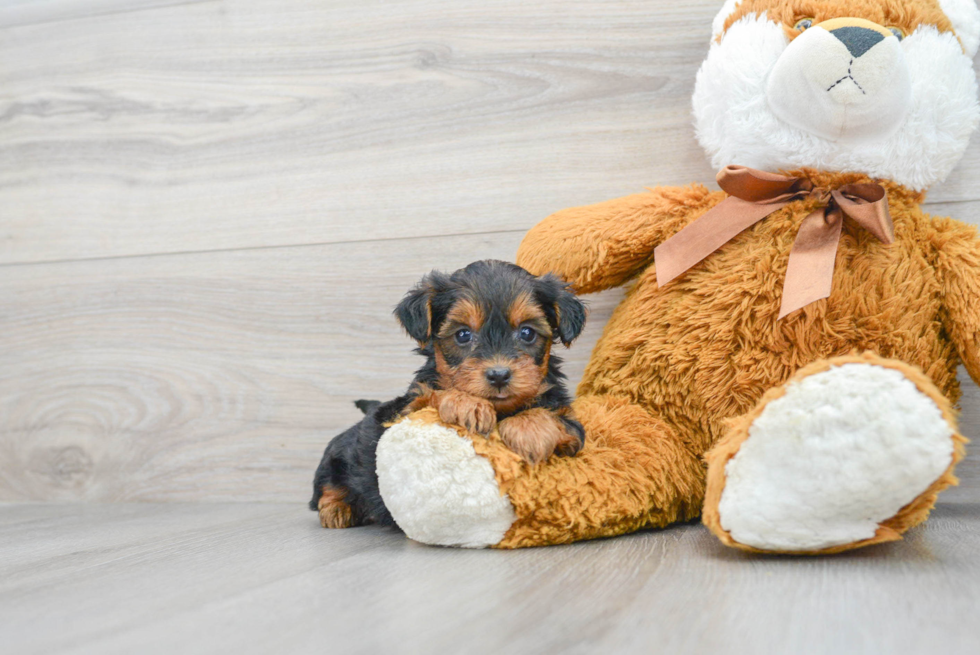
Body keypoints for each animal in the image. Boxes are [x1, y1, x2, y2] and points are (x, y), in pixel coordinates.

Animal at [314, 258, 584, 532]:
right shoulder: (404, 412)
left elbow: (557, 420)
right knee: (326, 486)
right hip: (336, 458)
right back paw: (336, 508)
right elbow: (433, 395)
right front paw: (466, 404)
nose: (499, 375)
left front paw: (530, 430)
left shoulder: (572, 426)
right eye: (462, 334)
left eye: (527, 333)